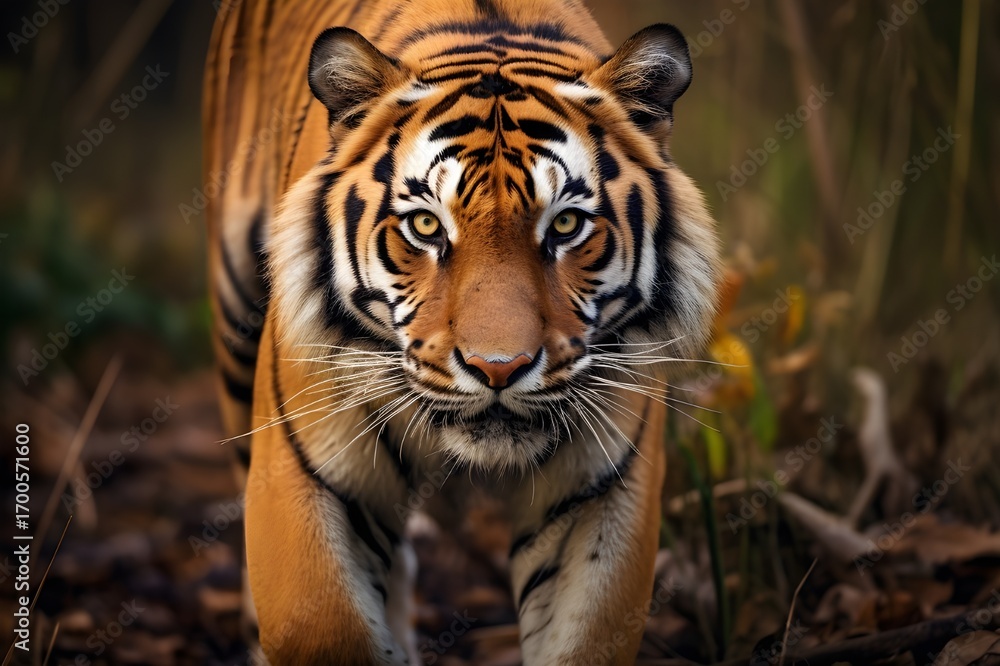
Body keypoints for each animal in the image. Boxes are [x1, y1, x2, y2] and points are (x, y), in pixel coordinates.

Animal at [203, 0, 721, 663]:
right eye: (426, 225)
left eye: (567, 225)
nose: (498, 368)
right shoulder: (305, 473)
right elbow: (325, 625)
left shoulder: (598, 492)